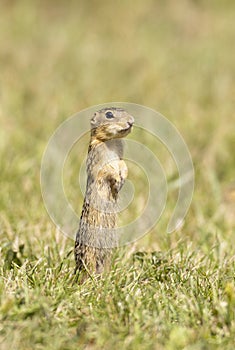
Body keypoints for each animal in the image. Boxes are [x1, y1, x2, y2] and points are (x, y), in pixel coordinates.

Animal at [75, 106, 134, 274]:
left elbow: (123, 165)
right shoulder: (97, 157)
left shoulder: (120, 156)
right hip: (89, 251)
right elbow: (106, 169)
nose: (131, 121)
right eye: (109, 115)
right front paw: (117, 179)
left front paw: (122, 179)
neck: (111, 142)